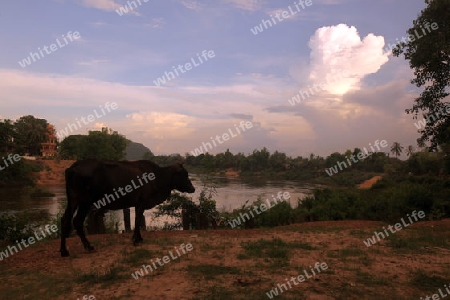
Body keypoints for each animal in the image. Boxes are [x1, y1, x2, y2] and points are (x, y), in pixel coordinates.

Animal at [59, 159, 194, 258]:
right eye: (184, 174)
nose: (193, 189)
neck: (158, 177)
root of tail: (72, 167)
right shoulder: (142, 201)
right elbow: (137, 220)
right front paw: (136, 240)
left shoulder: (139, 204)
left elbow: (138, 220)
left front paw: (138, 238)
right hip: (85, 201)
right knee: (77, 221)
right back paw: (88, 246)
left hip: (73, 201)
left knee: (64, 220)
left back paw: (64, 251)